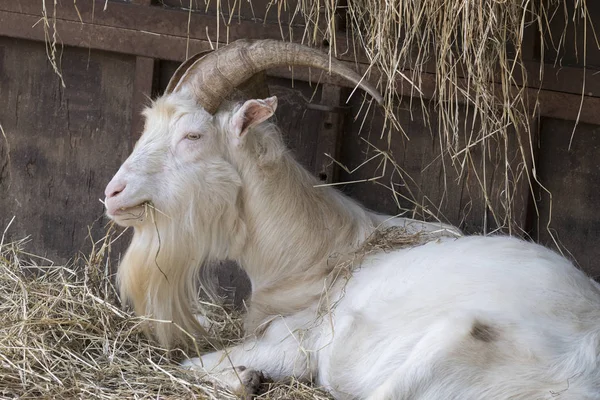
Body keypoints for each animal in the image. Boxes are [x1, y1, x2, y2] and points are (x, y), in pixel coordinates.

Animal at [104, 39, 600, 400]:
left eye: (192, 135)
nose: (113, 193)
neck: (323, 255)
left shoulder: (294, 339)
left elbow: (194, 365)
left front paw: (246, 377)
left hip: (450, 347)